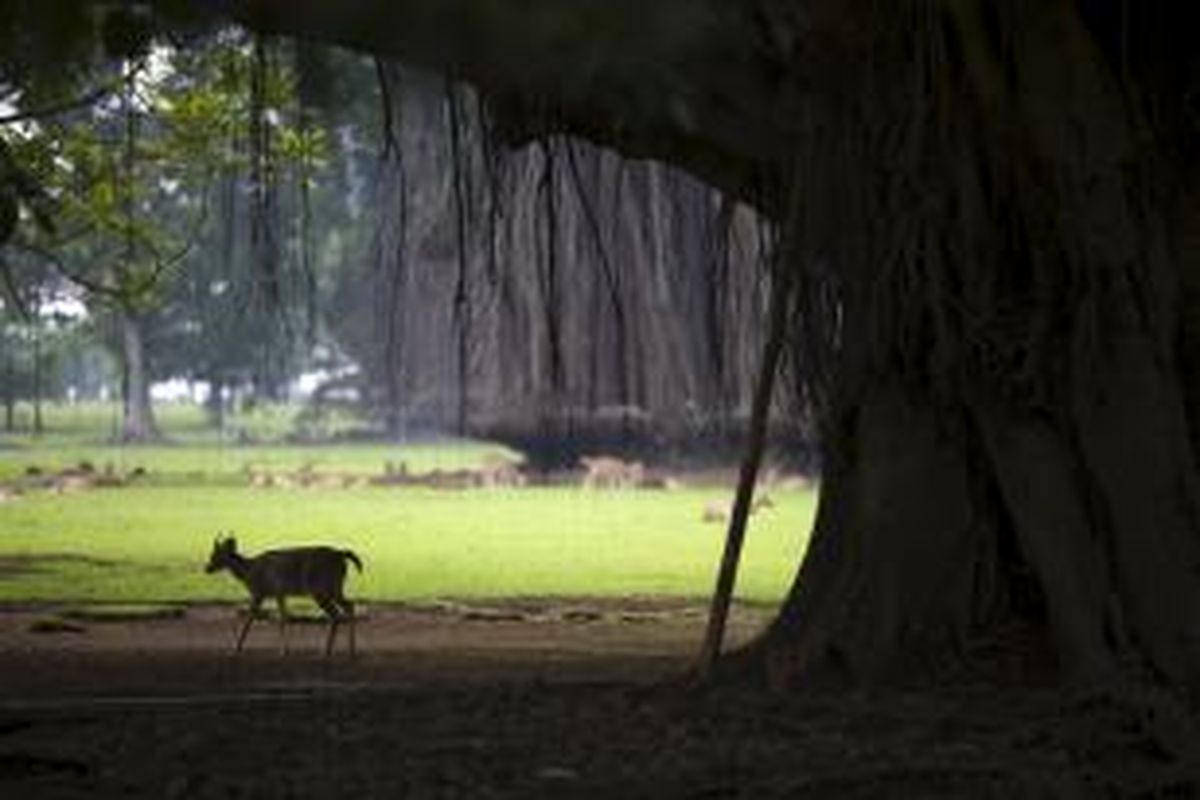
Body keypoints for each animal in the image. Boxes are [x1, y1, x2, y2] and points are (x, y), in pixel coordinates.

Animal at [204, 532, 362, 657]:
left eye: (216, 555)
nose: (207, 568)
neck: (249, 571)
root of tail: (341, 554)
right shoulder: (279, 593)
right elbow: (283, 618)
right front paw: (286, 650)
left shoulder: (260, 592)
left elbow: (251, 619)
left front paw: (235, 649)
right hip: (334, 588)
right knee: (349, 606)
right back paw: (350, 650)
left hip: (319, 588)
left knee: (336, 613)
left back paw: (326, 651)